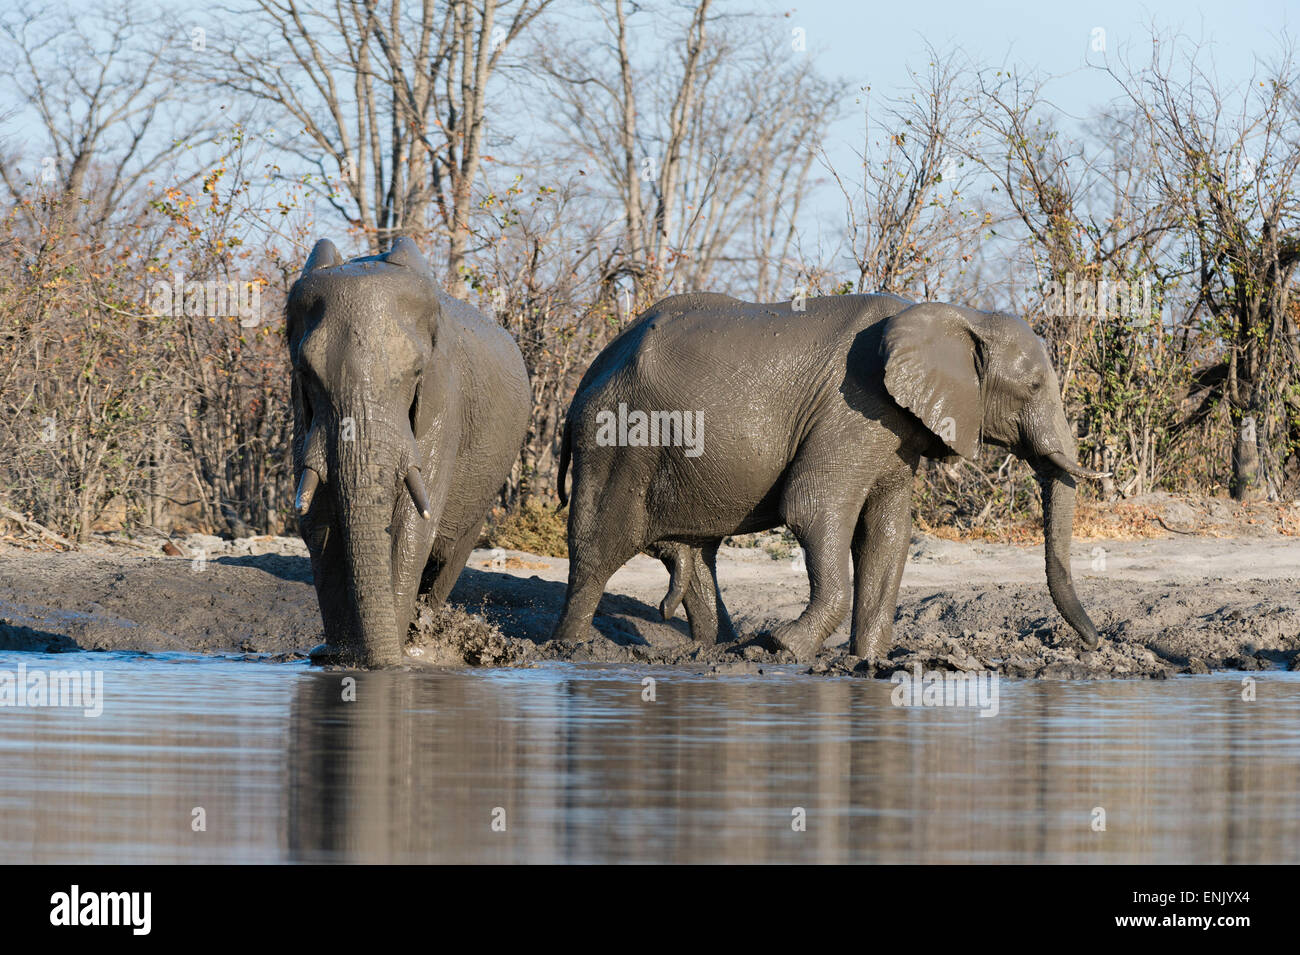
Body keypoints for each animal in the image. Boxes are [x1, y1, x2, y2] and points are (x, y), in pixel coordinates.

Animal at [288, 237, 527, 670]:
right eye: (306, 373)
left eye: (416, 373)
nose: (379, 659)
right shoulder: (301, 410)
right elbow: (318, 519)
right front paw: (338, 657)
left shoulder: (443, 399)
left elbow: (410, 525)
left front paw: (394, 661)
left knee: (451, 554)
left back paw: (424, 641)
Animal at [556, 291, 1107, 660]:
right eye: (1032, 387)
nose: (1097, 643)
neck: (960, 316)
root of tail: (586, 377)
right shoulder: (855, 408)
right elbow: (812, 507)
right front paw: (785, 646)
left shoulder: (892, 429)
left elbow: (888, 533)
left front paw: (867, 661)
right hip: (615, 441)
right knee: (598, 551)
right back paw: (571, 651)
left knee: (695, 556)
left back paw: (717, 651)